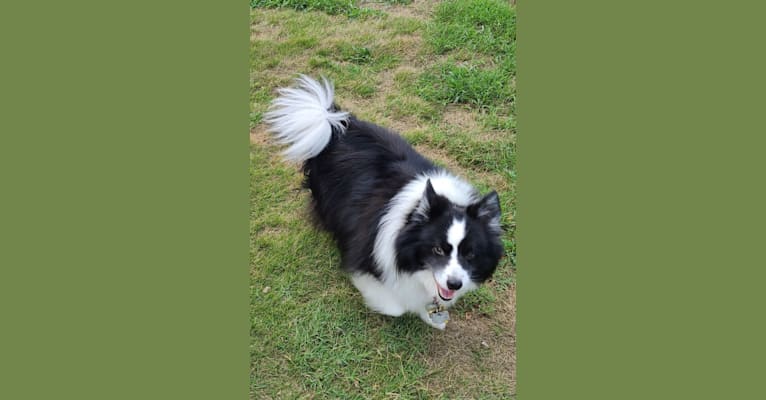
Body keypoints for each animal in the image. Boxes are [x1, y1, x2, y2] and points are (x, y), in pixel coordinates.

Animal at [264, 75, 504, 328]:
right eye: (438, 249)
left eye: (470, 254)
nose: (454, 284)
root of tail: (337, 123)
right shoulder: (366, 256)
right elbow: (395, 305)